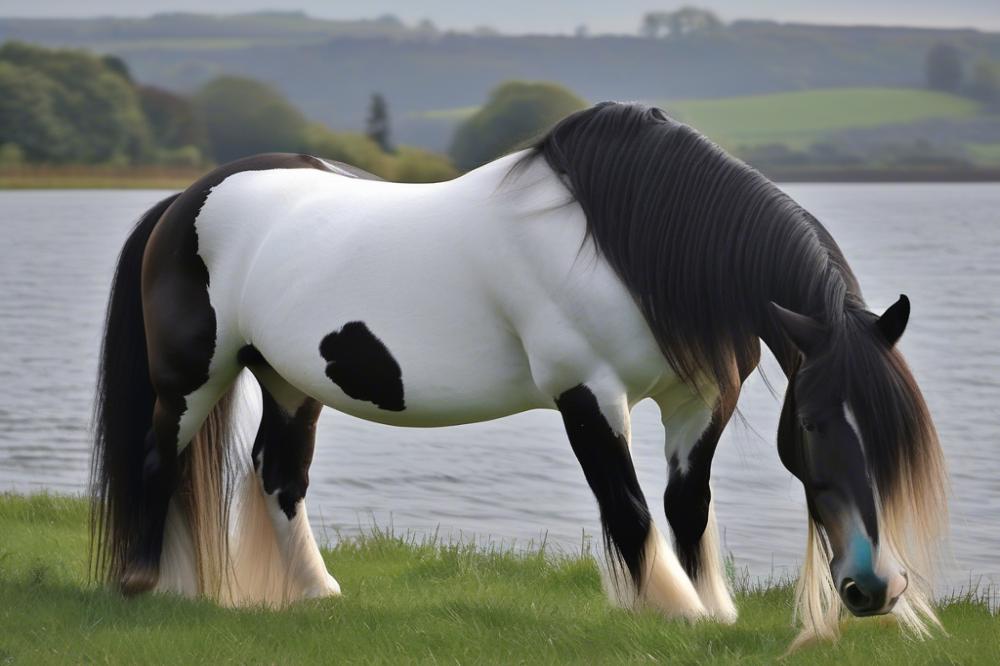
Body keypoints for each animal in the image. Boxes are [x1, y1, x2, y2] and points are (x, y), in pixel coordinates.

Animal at [92, 101, 944, 640]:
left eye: (899, 436)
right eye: (813, 424)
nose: (875, 588)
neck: (633, 246)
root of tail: (185, 199)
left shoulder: (700, 401)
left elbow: (687, 507)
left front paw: (713, 610)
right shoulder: (588, 393)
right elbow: (630, 509)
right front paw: (672, 611)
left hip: (290, 382)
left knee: (278, 474)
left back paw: (314, 594)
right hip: (191, 381)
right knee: (158, 460)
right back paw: (147, 584)